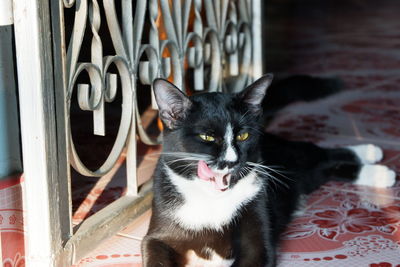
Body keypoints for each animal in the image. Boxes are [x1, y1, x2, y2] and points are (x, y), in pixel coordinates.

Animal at [140, 74, 394, 266]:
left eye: (243, 136)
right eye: (207, 137)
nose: (231, 160)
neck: (213, 199)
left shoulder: (256, 222)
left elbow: (257, 251)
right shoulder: (159, 232)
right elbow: (154, 248)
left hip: (290, 159)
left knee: (317, 154)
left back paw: (375, 160)